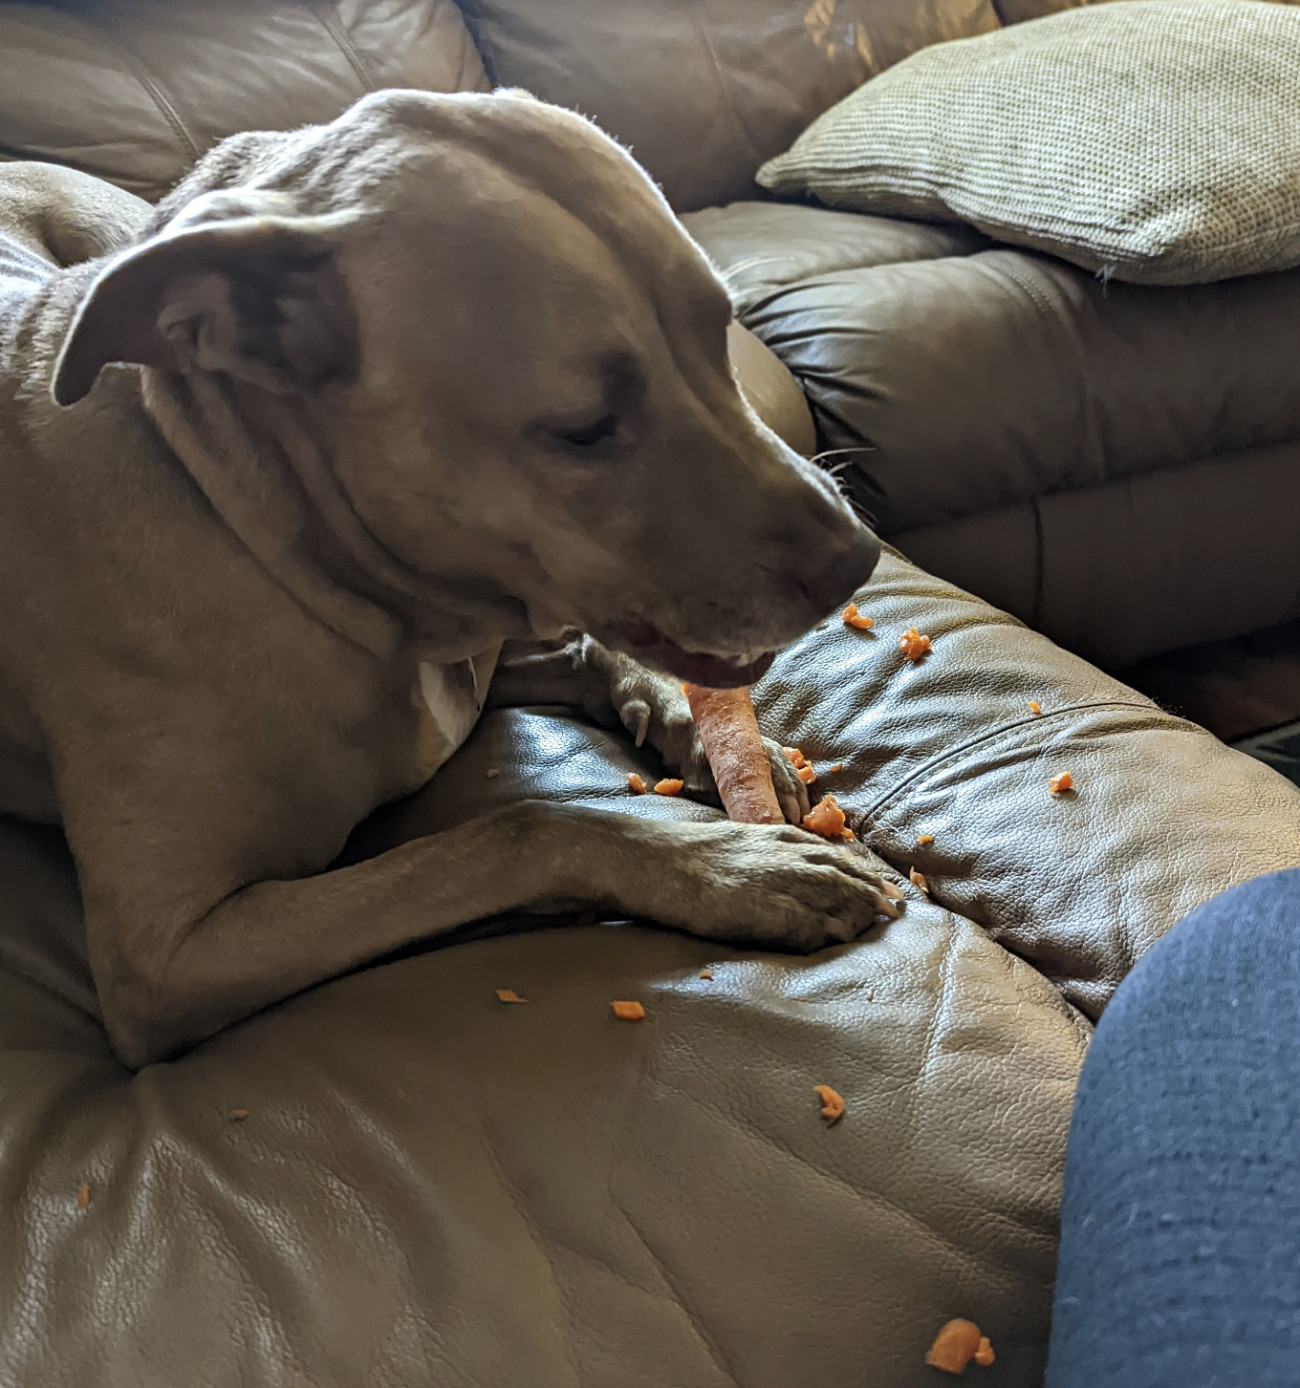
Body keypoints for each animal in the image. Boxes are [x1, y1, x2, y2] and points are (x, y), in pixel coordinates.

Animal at [0, 86, 899, 1065]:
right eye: (583, 427)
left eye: (720, 330)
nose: (856, 558)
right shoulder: (172, 955)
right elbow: (516, 830)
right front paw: (743, 869)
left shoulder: (482, 655)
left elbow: (605, 658)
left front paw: (722, 744)